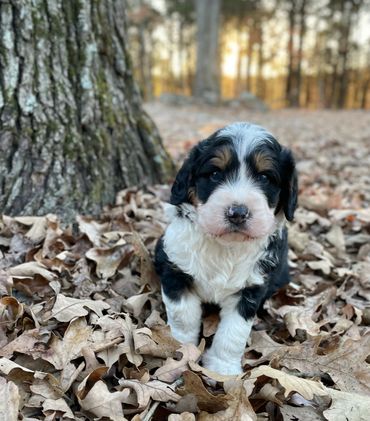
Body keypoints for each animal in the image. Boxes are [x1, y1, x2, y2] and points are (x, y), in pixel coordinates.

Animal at [153, 121, 298, 374]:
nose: (237, 213)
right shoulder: (175, 268)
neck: (226, 246)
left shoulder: (251, 288)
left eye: (264, 177)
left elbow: (234, 332)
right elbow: (183, 316)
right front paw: (180, 350)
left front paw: (223, 368)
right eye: (214, 174)